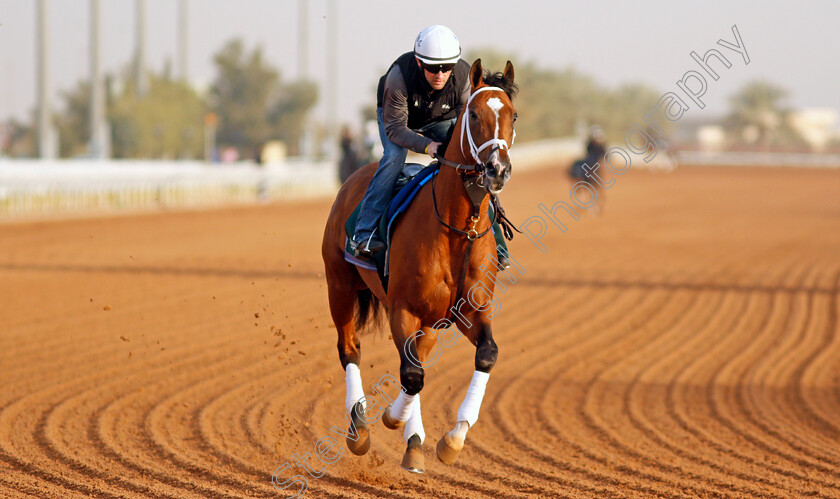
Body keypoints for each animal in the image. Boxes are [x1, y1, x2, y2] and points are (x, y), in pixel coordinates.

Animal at [322, 58, 520, 472]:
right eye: (473, 114)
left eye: (513, 115)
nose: (497, 169)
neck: (457, 231)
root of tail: (353, 178)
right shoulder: (403, 308)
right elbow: (412, 375)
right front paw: (390, 419)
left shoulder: (471, 311)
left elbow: (486, 355)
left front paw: (453, 439)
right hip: (339, 285)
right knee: (350, 349)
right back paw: (360, 431)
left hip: (429, 320)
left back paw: (414, 443)